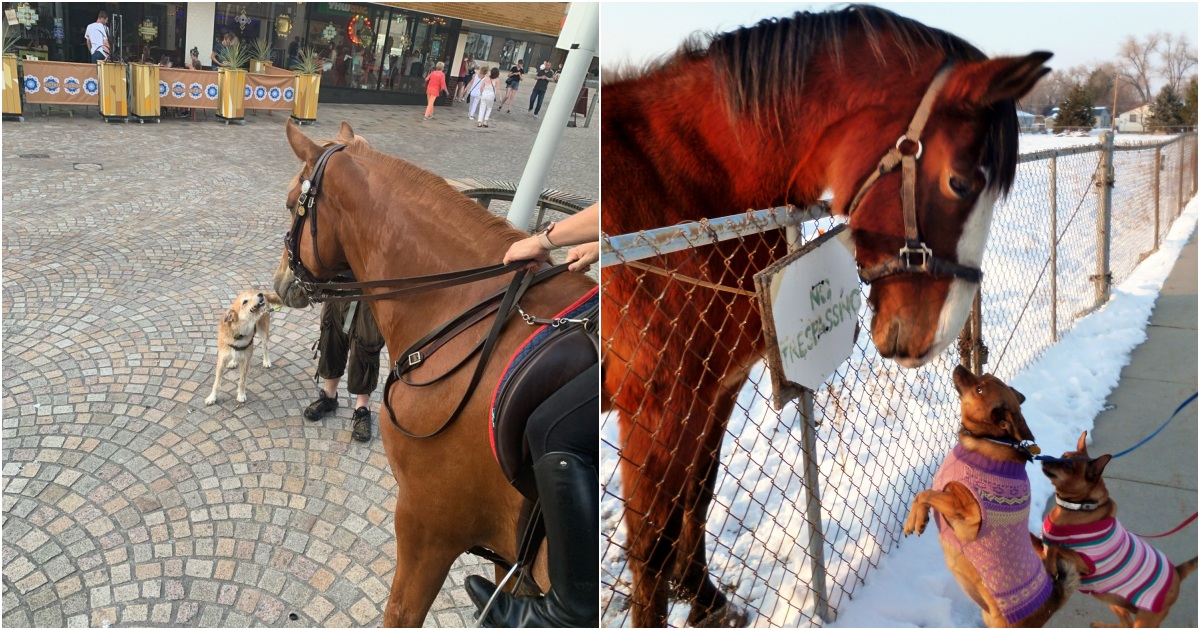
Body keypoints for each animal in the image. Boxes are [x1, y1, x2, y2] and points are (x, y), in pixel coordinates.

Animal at [276, 121, 600, 624]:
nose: (280, 284)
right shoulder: (514, 559)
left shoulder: (426, 523)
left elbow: (402, 613)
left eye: (293, 203)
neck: (468, 314)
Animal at [600, 3, 1051, 624]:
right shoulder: (658, 403)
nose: (935, 338)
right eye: (960, 181)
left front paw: (706, 599)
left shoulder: (717, 388)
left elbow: (699, 493)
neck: (682, 188)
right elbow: (651, 542)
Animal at [902, 364, 1080, 624]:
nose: (959, 366)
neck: (991, 439)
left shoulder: (967, 516)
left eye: (979, 389)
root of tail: (1053, 598)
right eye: (984, 377)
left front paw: (915, 519)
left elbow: (925, 493)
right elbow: (925, 493)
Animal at [1036, 429, 1195, 624]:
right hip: (1113, 601)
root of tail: (1178, 573)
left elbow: (1057, 547)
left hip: (1144, 619)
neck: (1079, 507)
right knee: (1126, 623)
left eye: (1067, 465)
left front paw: (1051, 565)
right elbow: (1046, 545)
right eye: (1062, 455)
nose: (1044, 457)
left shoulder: (1085, 564)